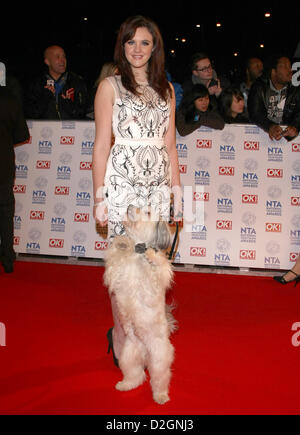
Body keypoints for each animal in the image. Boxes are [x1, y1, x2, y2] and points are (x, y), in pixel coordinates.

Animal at [104, 207, 177, 406]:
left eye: (148, 211)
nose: (130, 205)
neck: (138, 253)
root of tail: (145, 352)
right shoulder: (116, 271)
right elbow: (116, 258)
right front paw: (122, 242)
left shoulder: (160, 276)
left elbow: (158, 263)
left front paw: (151, 254)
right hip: (128, 355)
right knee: (136, 375)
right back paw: (125, 385)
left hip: (158, 358)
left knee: (159, 379)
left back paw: (161, 396)